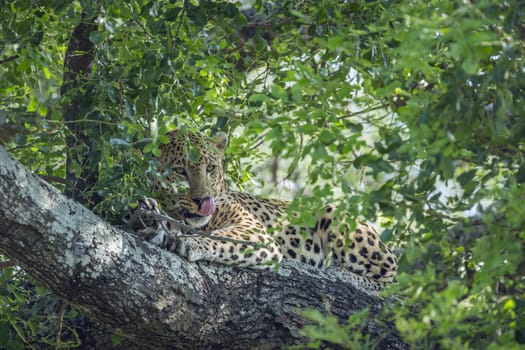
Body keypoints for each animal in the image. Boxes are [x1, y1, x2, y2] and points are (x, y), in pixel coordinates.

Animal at [131, 130, 398, 292]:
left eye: (210, 168)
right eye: (179, 171)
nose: (204, 200)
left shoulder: (255, 232)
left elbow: (224, 237)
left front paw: (191, 242)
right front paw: (150, 220)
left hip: (335, 214)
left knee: (390, 280)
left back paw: (343, 274)